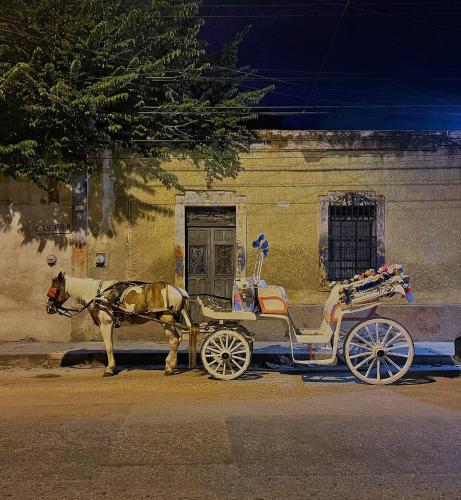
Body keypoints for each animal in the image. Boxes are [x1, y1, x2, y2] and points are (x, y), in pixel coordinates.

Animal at [45, 274, 190, 376]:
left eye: (54, 289)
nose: (48, 307)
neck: (98, 295)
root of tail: (180, 291)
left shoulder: (106, 324)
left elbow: (108, 346)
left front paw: (109, 369)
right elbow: (111, 345)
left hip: (166, 319)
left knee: (174, 340)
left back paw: (168, 366)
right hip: (170, 321)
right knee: (177, 339)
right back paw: (171, 365)